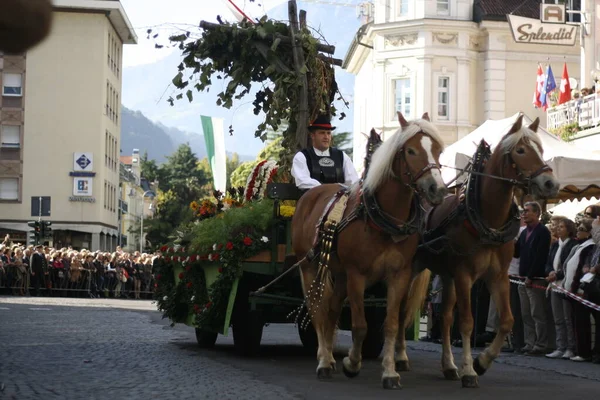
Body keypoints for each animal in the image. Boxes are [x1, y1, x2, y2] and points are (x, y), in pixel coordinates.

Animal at [292, 111, 450, 388]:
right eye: (410, 151)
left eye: (438, 150)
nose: (438, 190)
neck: (383, 219)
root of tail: (311, 195)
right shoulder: (357, 276)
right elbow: (360, 326)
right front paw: (352, 363)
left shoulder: (399, 275)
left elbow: (391, 324)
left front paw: (389, 372)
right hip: (310, 268)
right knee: (318, 310)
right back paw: (324, 360)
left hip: (339, 273)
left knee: (332, 310)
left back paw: (330, 357)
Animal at [400, 115, 560, 388]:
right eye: (520, 150)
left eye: (540, 148)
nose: (551, 183)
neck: (487, 220)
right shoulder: (465, 275)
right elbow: (467, 322)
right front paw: (469, 370)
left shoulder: (498, 276)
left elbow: (506, 321)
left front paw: (481, 362)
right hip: (413, 269)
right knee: (401, 308)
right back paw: (400, 356)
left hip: (447, 276)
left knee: (445, 317)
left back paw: (448, 365)